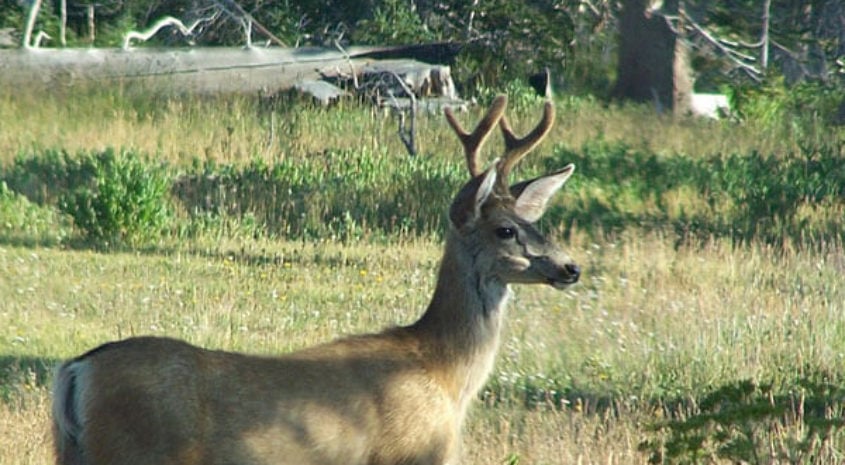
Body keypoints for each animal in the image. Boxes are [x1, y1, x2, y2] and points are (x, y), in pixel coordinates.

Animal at [51, 95, 580, 464]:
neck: (445, 374)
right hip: (136, 450)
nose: (571, 267)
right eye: (505, 229)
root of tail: (76, 371)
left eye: (536, 221)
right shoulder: (412, 453)